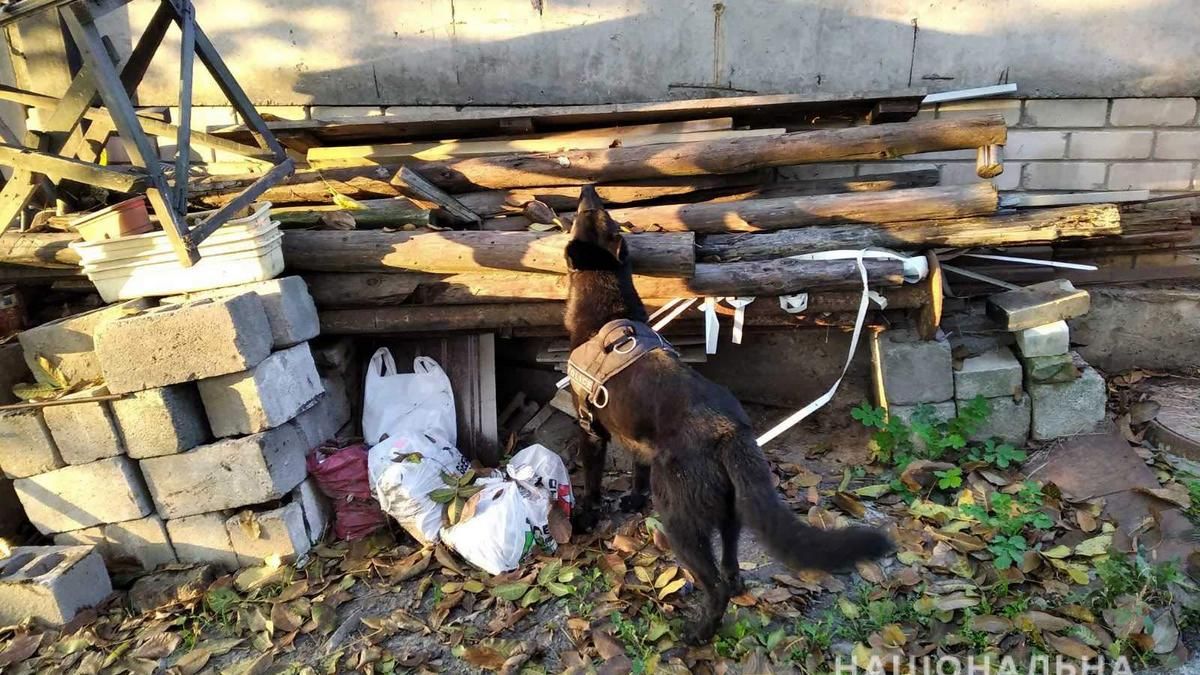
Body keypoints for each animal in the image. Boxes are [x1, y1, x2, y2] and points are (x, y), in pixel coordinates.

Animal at [561, 183, 892, 638]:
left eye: (586, 213)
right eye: (604, 215)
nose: (589, 188)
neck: (608, 314)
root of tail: (728, 431)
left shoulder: (591, 428)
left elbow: (591, 482)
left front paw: (586, 516)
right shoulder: (636, 439)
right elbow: (637, 470)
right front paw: (632, 499)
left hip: (680, 520)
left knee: (713, 582)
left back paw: (699, 632)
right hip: (731, 510)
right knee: (731, 561)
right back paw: (734, 588)